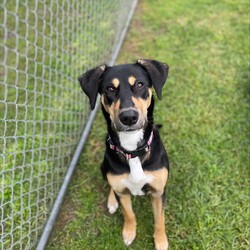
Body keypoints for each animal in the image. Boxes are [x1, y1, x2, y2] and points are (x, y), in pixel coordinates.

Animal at [78, 59, 170, 250]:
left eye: (140, 84)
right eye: (109, 89)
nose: (128, 117)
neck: (132, 150)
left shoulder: (158, 192)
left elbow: (160, 220)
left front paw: (160, 241)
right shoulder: (122, 192)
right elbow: (129, 214)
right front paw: (129, 232)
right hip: (103, 167)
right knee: (111, 187)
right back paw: (112, 202)